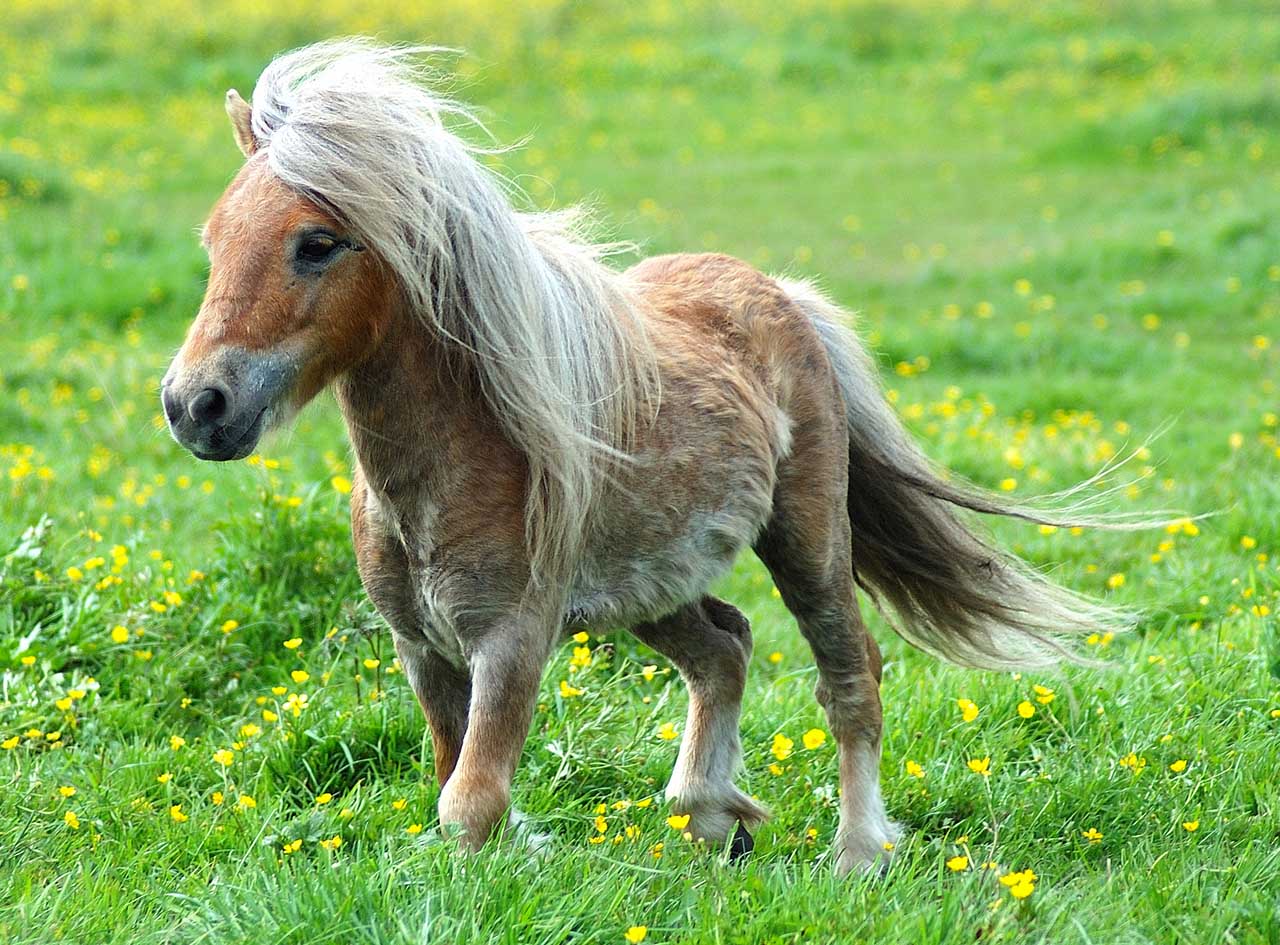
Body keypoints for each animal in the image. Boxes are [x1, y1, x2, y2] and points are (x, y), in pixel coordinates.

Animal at [162, 40, 1131, 870]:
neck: (450, 465)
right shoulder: (422, 648)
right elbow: (454, 781)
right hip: (649, 586)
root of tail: (783, 295)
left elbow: (469, 802)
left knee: (850, 674)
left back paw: (856, 853)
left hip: (807, 542)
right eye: (211, 239)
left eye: (318, 243)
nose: (195, 405)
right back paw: (712, 816)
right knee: (726, 646)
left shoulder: (512, 639)